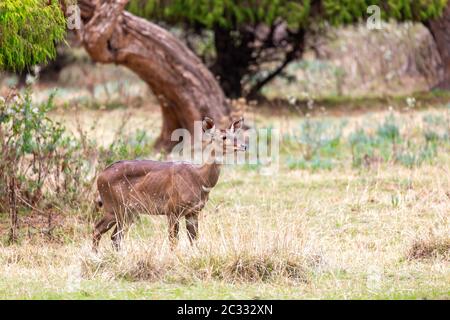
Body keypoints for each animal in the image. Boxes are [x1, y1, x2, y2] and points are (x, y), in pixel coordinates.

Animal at [92, 116, 246, 251]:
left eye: (235, 135)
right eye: (223, 137)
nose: (244, 146)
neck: (199, 179)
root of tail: (100, 176)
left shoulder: (193, 212)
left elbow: (194, 239)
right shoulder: (172, 209)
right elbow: (173, 240)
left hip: (128, 212)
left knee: (114, 236)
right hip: (114, 208)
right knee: (97, 229)